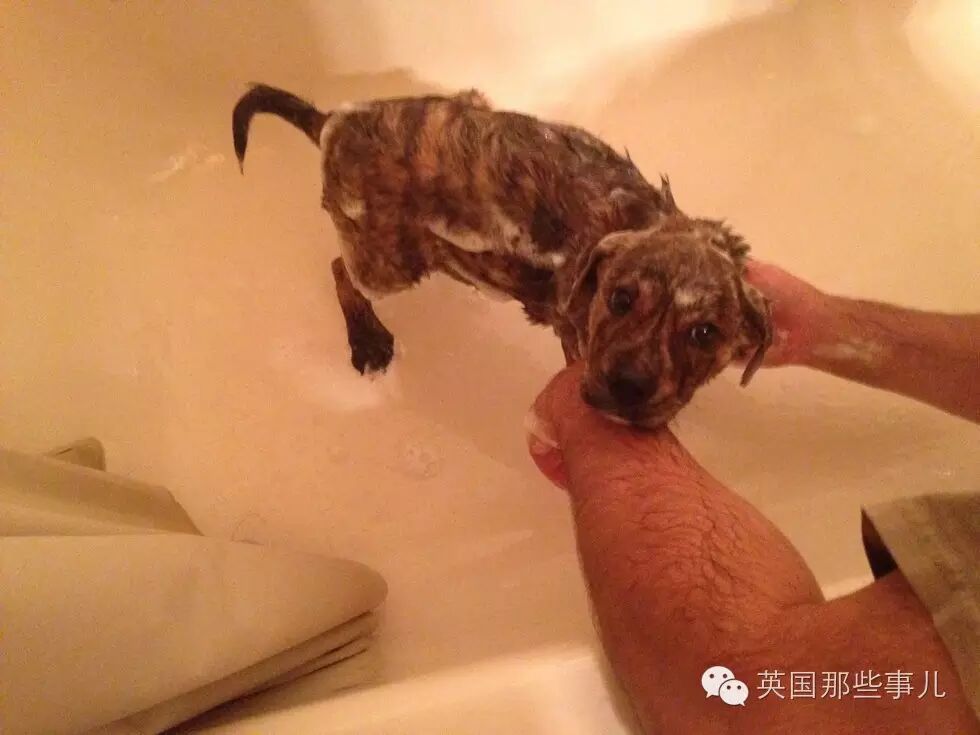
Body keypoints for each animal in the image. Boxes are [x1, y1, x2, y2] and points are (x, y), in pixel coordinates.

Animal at [232, 84, 771, 427]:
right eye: (619, 300)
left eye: (705, 333)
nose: (627, 386)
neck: (640, 221)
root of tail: (333, 124)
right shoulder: (576, 337)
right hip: (387, 260)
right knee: (341, 269)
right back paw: (367, 339)